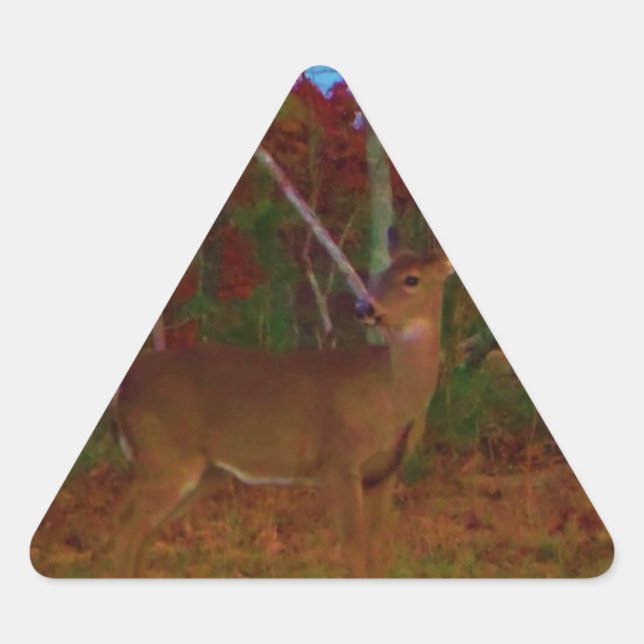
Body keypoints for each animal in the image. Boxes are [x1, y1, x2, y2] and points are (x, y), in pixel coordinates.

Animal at [111, 240, 453, 577]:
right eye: (380, 276)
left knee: (146, 531)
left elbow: (373, 551)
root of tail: (126, 388)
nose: (364, 308)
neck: (393, 396)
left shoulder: (384, 473)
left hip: (203, 471)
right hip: (164, 455)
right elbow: (354, 551)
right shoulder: (339, 462)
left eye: (412, 279)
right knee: (126, 523)